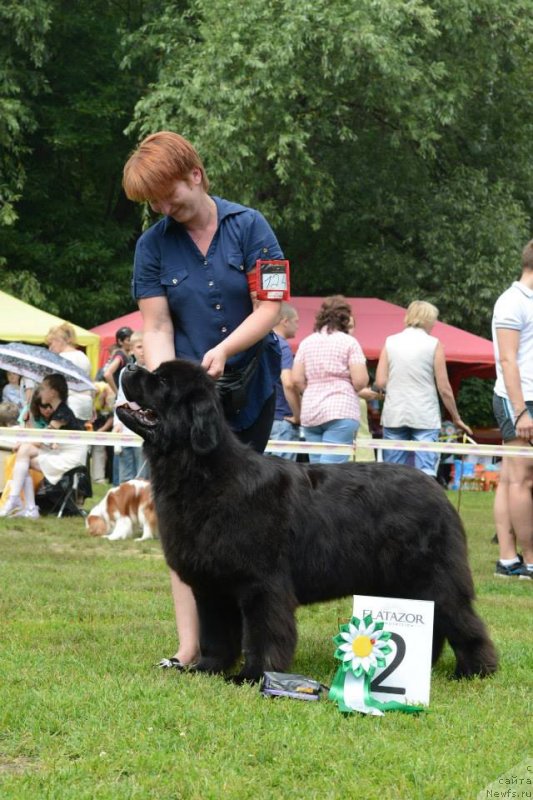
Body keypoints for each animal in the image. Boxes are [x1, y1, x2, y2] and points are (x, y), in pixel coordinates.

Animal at [116, 360, 494, 680]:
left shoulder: (261, 582)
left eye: (162, 381)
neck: (202, 473)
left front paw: (254, 675)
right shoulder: (212, 585)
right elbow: (215, 633)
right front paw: (208, 668)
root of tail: (436, 488)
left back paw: (474, 670)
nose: (130, 364)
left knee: (462, 620)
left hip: (432, 577)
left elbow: (264, 633)